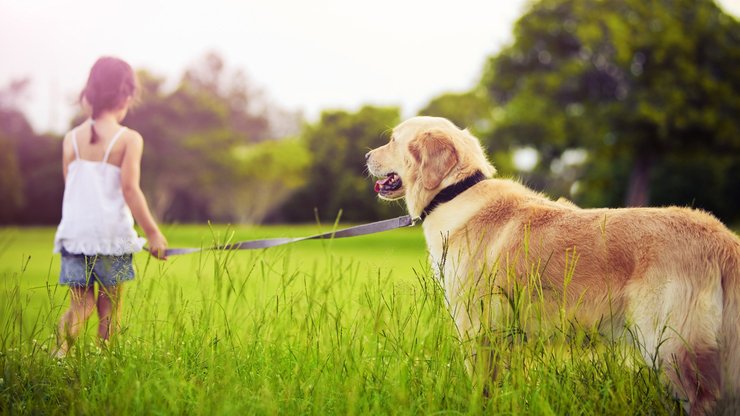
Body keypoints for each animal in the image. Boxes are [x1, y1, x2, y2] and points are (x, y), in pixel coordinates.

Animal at [366, 115, 740, 414]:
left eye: (394, 140)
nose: (366, 156)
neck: (454, 192)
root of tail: (722, 238)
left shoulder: (476, 328)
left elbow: (480, 387)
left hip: (672, 346)